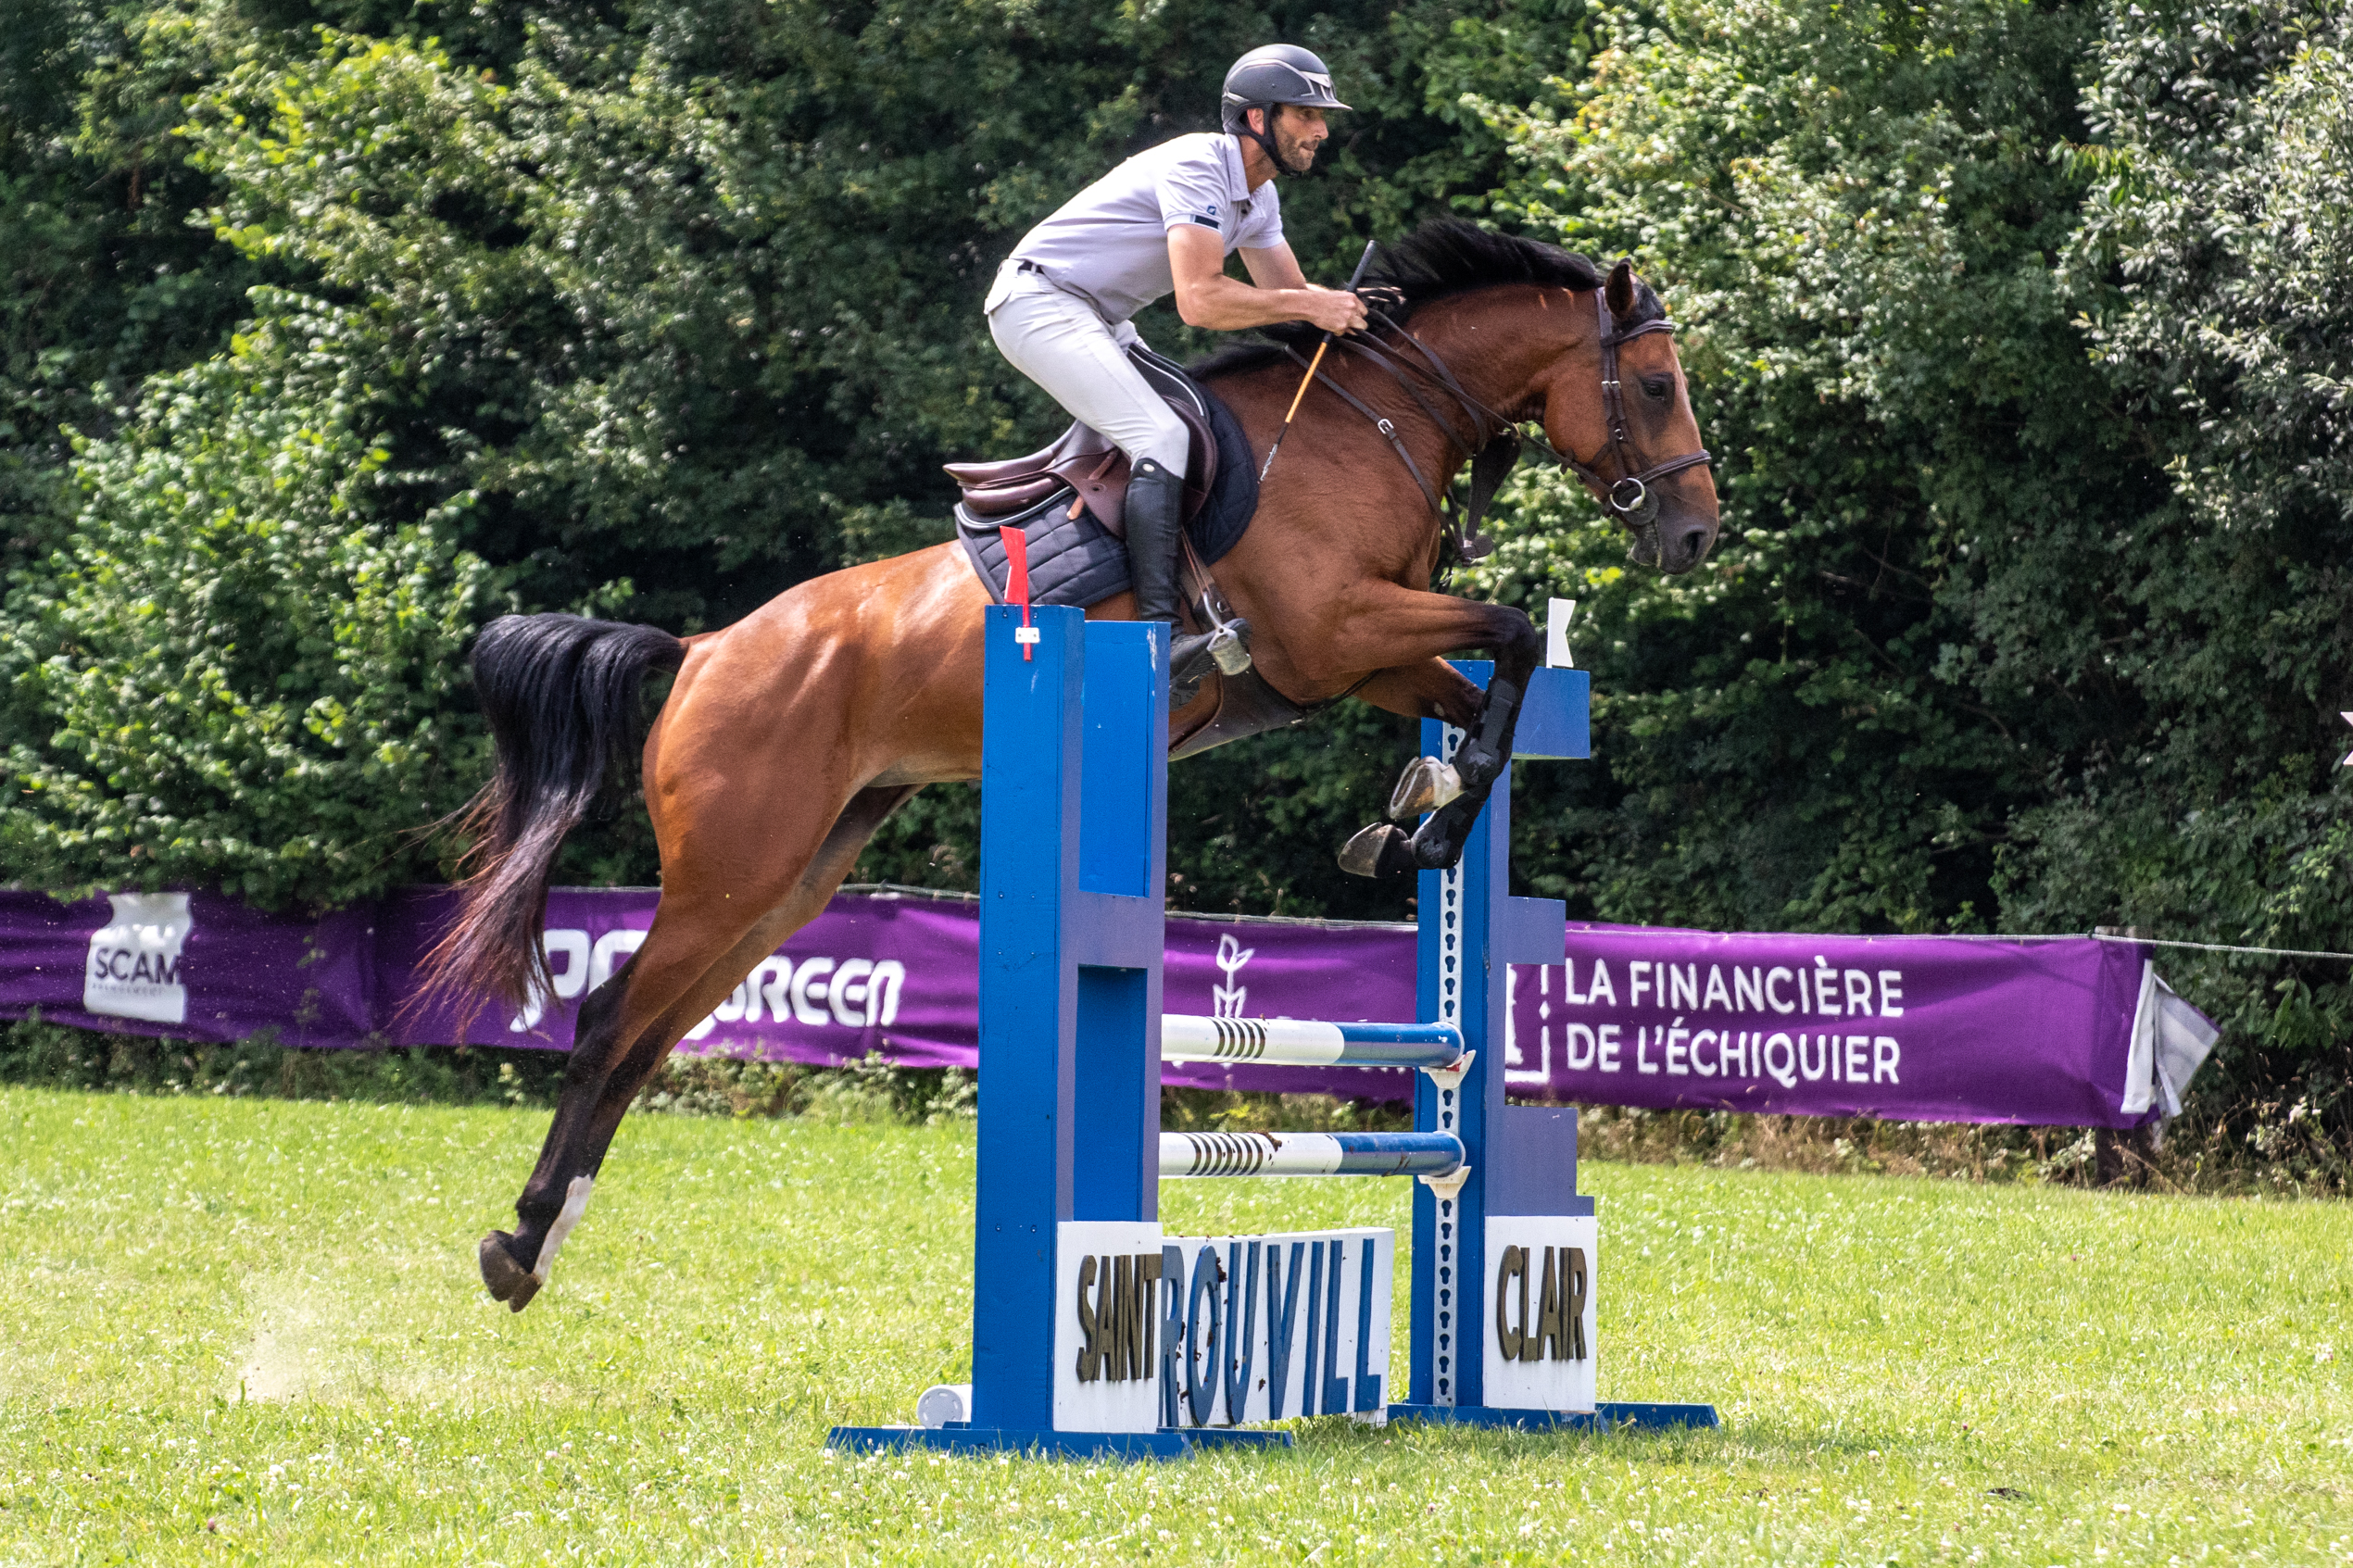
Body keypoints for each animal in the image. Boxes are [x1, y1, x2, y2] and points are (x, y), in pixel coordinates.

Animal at [424, 220, 1719, 1311]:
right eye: (1656, 386)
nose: (1697, 535)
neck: (1372, 421)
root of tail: (699, 652)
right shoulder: (1334, 631)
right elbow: (1510, 632)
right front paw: (1428, 826)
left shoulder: (1361, 659)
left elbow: (1486, 695)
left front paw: (1416, 813)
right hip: (732, 869)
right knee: (608, 1021)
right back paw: (518, 1241)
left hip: (792, 881)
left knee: (648, 1036)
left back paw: (539, 1241)